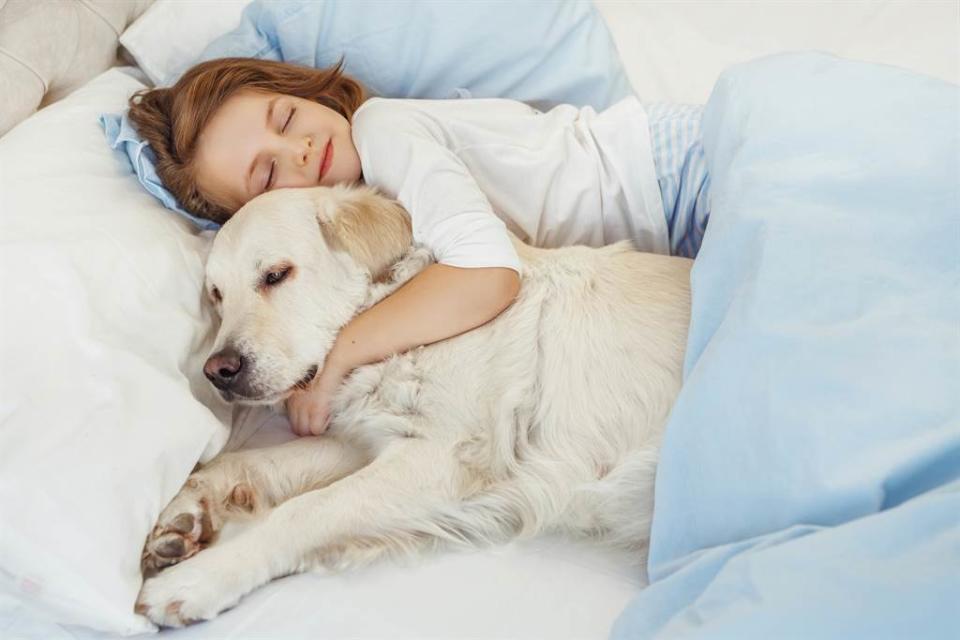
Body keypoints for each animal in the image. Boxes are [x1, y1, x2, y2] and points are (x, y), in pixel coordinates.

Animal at [133, 184, 688, 624]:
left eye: (275, 275)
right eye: (217, 295)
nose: (217, 371)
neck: (394, 321)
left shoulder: (445, 458)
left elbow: (305, 510)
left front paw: (195, 582)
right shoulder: (370, 440)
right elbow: (255, 462)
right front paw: (188, 510)